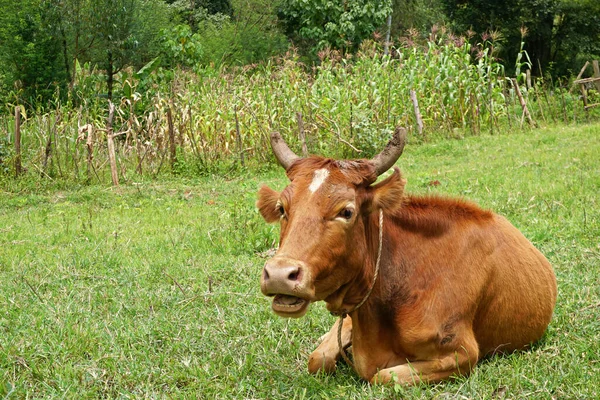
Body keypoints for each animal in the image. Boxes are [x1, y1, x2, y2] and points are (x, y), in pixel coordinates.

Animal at [255, 128, 556, 384]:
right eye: (282, 208)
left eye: (346, 211)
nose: (280, 274)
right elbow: (317, 360)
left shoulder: (462, 353)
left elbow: (383, 377)